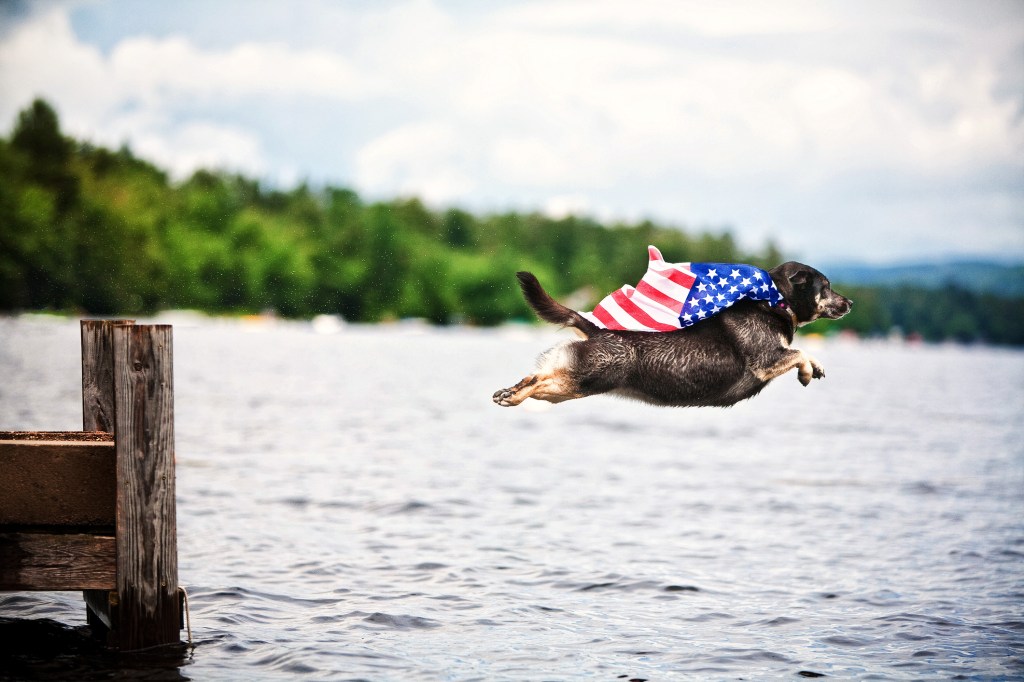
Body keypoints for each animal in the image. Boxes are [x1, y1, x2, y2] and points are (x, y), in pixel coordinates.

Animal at [491, 260, 851, 405]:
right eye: (826, 287)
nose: (849, 302)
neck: (774, 301)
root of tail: (592, 327)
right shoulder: (767, 359)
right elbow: (800, 352)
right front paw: (809, 370)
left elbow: (801, 352)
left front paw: (812, 369)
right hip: (586, 379)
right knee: (539, 381)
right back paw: (511, 396)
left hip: (567, 385)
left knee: (535, 377)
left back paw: (508, 392)